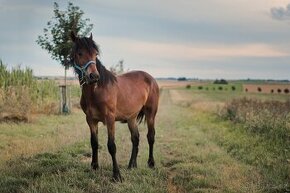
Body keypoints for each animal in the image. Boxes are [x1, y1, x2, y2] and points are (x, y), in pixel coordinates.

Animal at [71, 32, 161, 182]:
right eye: (79, 53)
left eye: (95, 53)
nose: (94, 76)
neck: (97, 90)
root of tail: (151, 79)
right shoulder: (91, 120)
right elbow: (94, 143)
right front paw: (94, 167)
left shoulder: (110, 119)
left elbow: (111, 146)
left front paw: (116, 175)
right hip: (131, 118)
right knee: (135, 138)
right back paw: (132, 165)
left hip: (151, 114)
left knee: (151, 136)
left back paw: (151, 163)